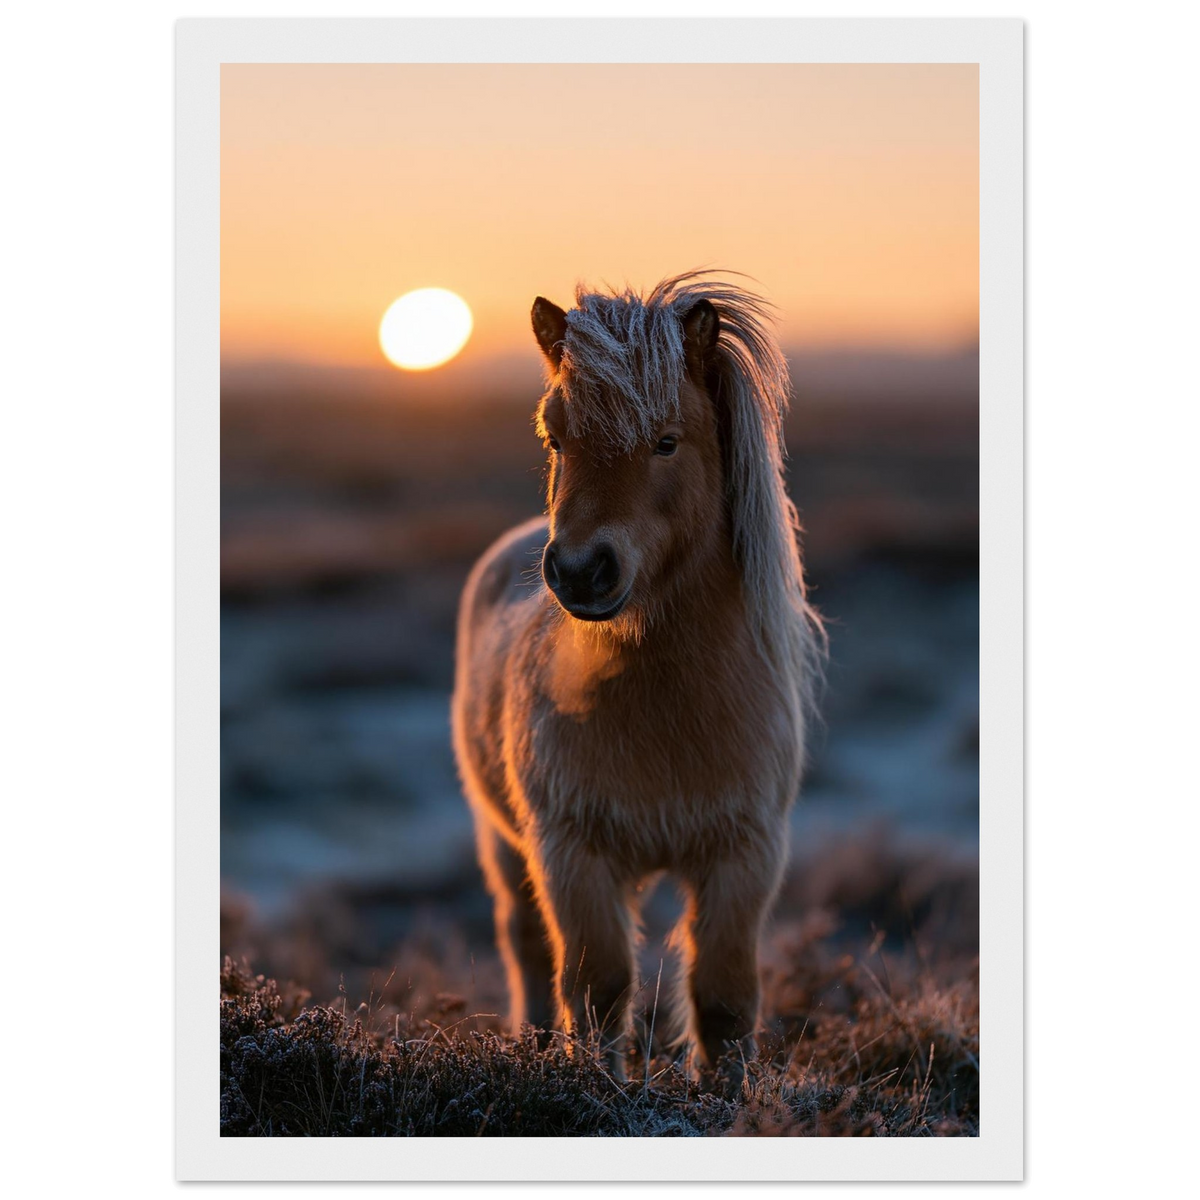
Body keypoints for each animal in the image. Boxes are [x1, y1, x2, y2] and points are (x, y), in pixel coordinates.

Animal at [451, 271, 824, 1086]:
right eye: (554, 437)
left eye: (667, 440)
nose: (580, 570)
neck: (665, 711)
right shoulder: (571, 853)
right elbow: (597, 988)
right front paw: (596, 1088)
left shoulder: (745, 855)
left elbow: (723, 998)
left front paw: (729, 1098)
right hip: (504, 843)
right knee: (526, 947)